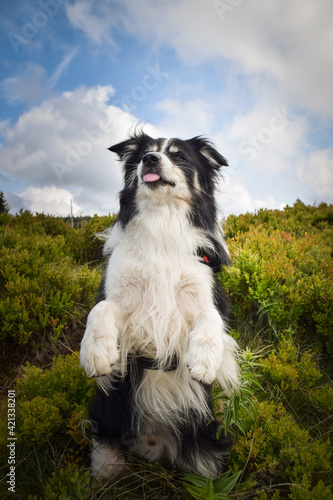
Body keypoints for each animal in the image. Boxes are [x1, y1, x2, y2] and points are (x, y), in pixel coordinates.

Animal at [79, 131, 237, 478]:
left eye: (178, 156)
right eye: (143, 155)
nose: (150, 160)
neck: (161, 222)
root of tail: (153, 445)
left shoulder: (203, 295)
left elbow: (211, 317)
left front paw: (204, 360)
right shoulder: (121, 298)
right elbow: (100, 309)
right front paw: (97, 353)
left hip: (206, 450)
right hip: (108, 429)